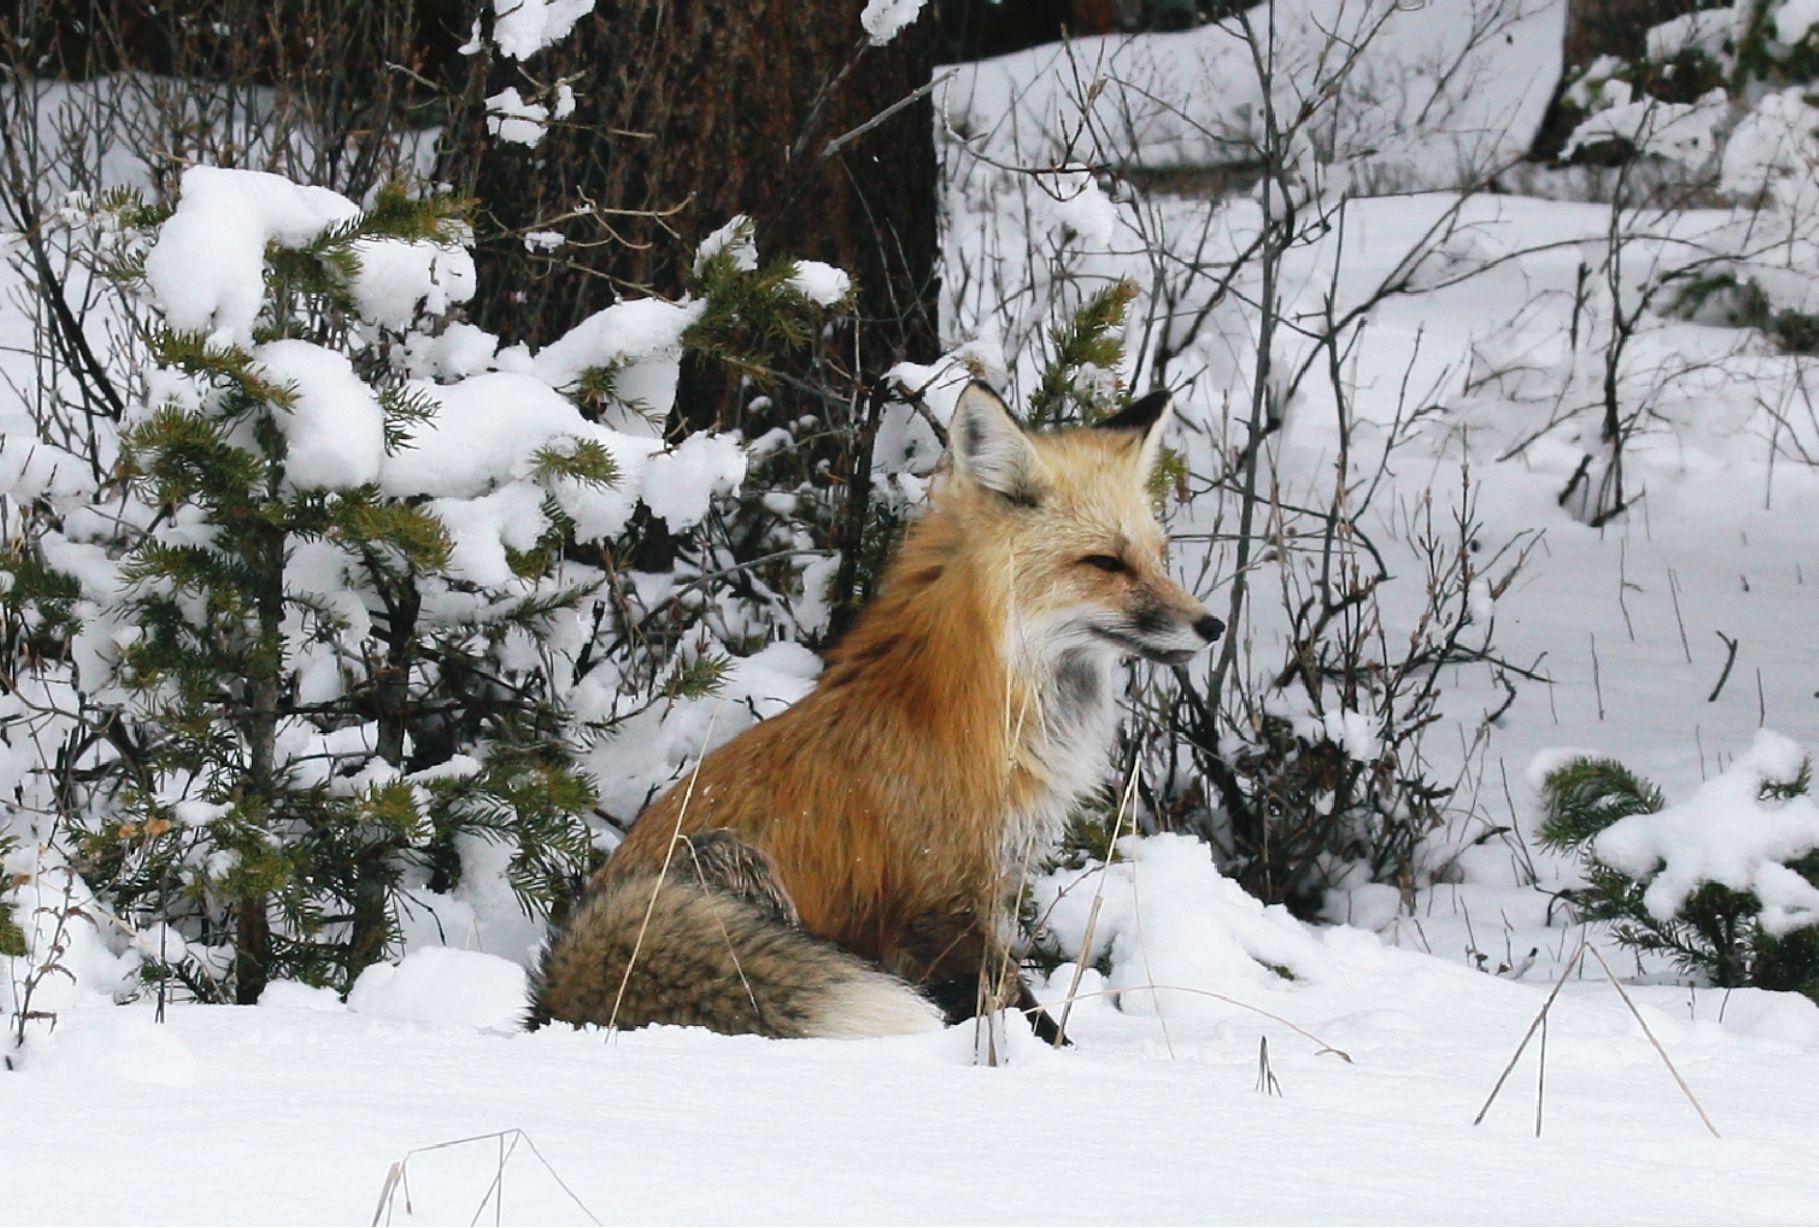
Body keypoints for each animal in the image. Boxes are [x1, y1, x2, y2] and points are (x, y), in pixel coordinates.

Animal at [528, 380, 1223, 1039]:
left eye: (1158, 555)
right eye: (1105, 562)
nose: (1212, 626)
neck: (987, 707)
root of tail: (555, 988)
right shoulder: (939, 903)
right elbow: (1012, 1006)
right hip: (728, 859)